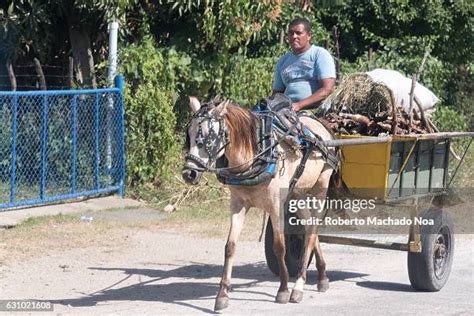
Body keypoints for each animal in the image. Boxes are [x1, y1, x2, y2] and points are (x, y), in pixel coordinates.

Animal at [182, 95, 336, 310]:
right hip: (296, 192)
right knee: (308, 227)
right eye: (189, 134)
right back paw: (322, 276)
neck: (255, 155)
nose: (189, 173)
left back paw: (298, 286)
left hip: (320, 186)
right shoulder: (237, 204)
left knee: (313, 229)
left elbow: (279, 247)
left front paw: (283, 289)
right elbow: (230, 246)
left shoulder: (276, 205)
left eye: (207, 136)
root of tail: (321, 124)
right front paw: (222, 295)